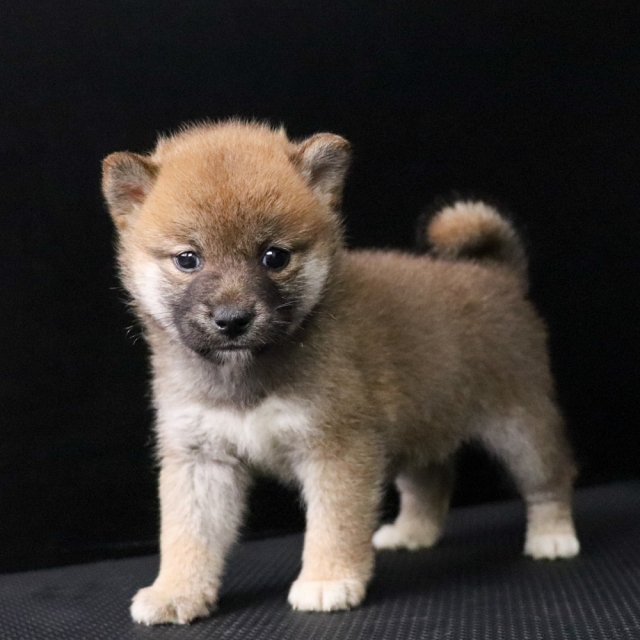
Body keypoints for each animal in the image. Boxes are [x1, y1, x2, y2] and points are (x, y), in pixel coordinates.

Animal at [102, 120, 579, 624]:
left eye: (274, 257)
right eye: (188, 259)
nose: (232, 320)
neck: (247, 377)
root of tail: (499, 276)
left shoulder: (336, 447)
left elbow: (334, 524)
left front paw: (327, 580)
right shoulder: (201, 457)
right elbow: (186, 535)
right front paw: (176, 591)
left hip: (521, 427)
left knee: (550, 479)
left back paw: (552, 535)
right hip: (422, 423)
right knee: (431, 482)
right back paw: (412, 532)